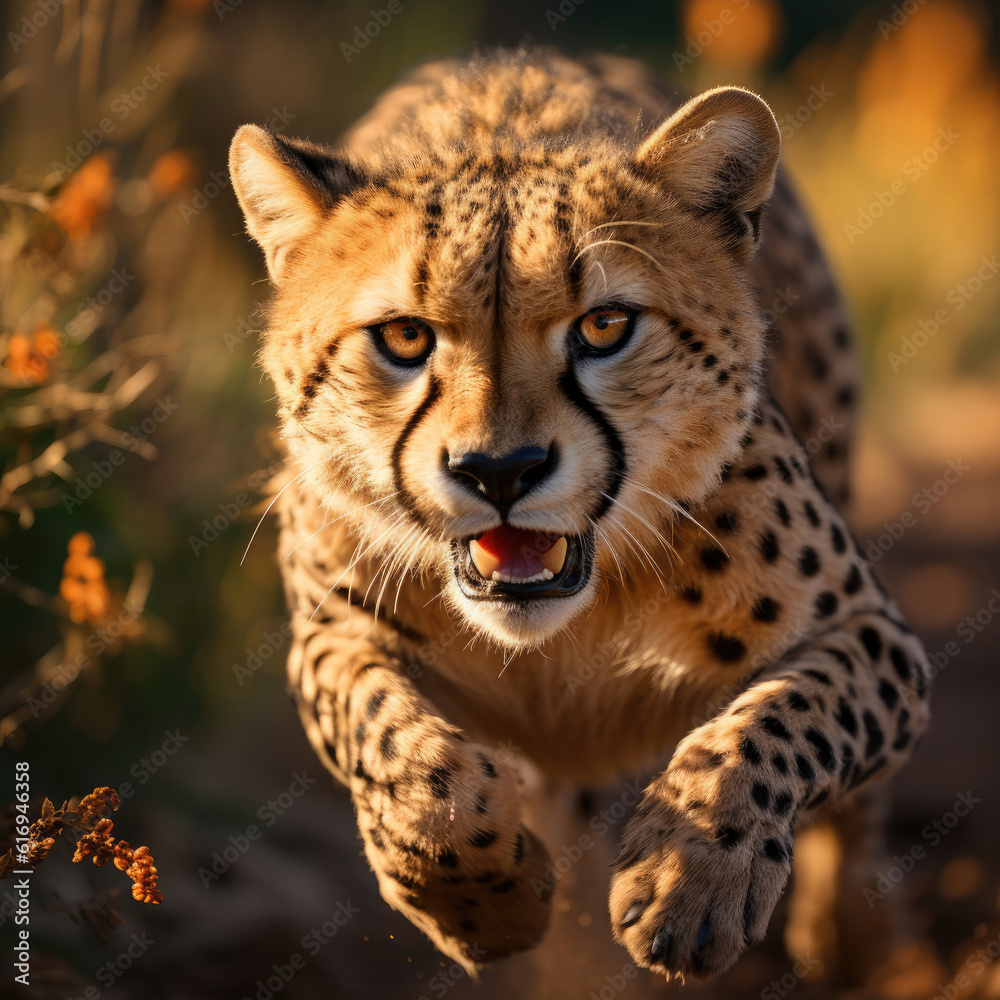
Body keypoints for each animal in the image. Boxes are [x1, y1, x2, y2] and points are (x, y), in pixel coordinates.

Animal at [227, 48, 928, 984]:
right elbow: (403, 754)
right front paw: (487, 906)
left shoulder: (866, 628)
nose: (499, 471)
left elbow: (778, 721)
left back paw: (852, 935)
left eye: (604, 326)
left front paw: (692, 878)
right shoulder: (330, 634)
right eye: (405, 338)